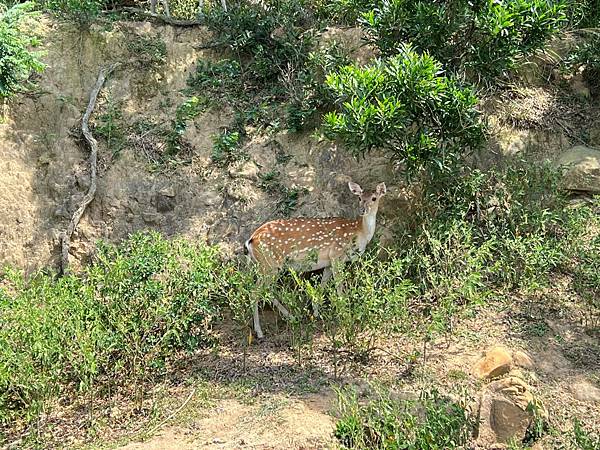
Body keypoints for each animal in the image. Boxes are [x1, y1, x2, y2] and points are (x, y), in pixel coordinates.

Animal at [246, 179, 386, 338]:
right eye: (359, 198)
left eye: (374, 198)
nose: (362, 210)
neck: (358, 233)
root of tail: (250, 241)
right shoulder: (337, 255)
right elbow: (339, 288)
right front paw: (345, 315)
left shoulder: (328, 262)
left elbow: (322, 286)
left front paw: (317, 313)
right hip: (269, 264)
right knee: (254, 292)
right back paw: (259, 331)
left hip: (270, 266)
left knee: (267, 290)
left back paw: (291, 317)